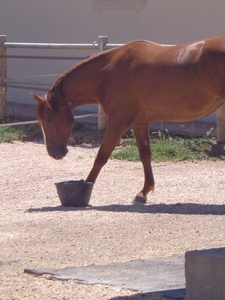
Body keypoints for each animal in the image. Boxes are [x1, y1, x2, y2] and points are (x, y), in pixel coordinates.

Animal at [32, 35, 225, 204]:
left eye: (48, 119)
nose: (54, 153)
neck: (109, 72)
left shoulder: (118, 122)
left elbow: (101, 156)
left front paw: (84, 189)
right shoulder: (139, 123)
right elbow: (145, 154)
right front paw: (143, 192)